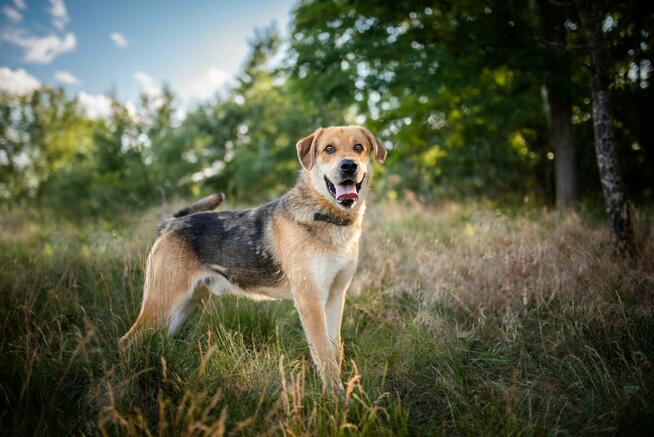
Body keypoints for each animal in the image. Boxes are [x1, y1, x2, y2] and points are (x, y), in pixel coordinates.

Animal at [120, 126, 386, 388]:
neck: (328, 217)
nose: (349, 165)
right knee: (127, 341)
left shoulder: (335, 296)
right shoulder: (310, 299)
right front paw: (334, 395)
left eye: (358, 147)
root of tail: (170, 223)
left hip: (184, 305)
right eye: (329, 149)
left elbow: (335, 350)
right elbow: (323, 354)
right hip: (162, 301)